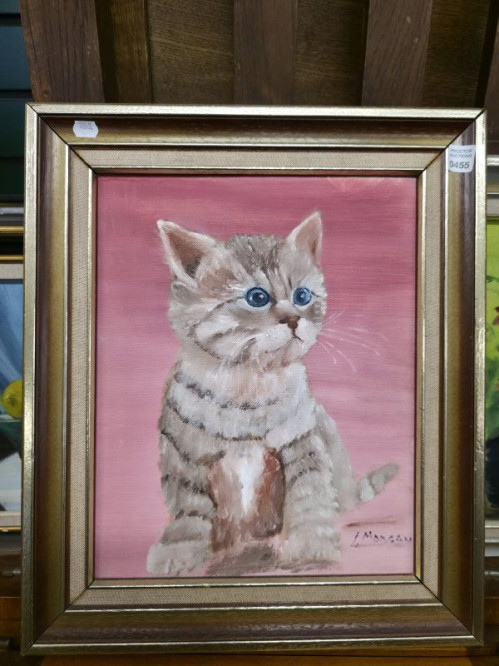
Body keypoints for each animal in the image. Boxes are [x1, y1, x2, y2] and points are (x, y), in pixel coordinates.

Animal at [147, 212, 398, 576]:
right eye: (257, 298)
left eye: (303, 296)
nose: (293, 318)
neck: (248, 389)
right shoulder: (185, 457)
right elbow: (189, 509)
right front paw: (178, 550)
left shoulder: (302, 443)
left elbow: (310, 497)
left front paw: (311, 548)